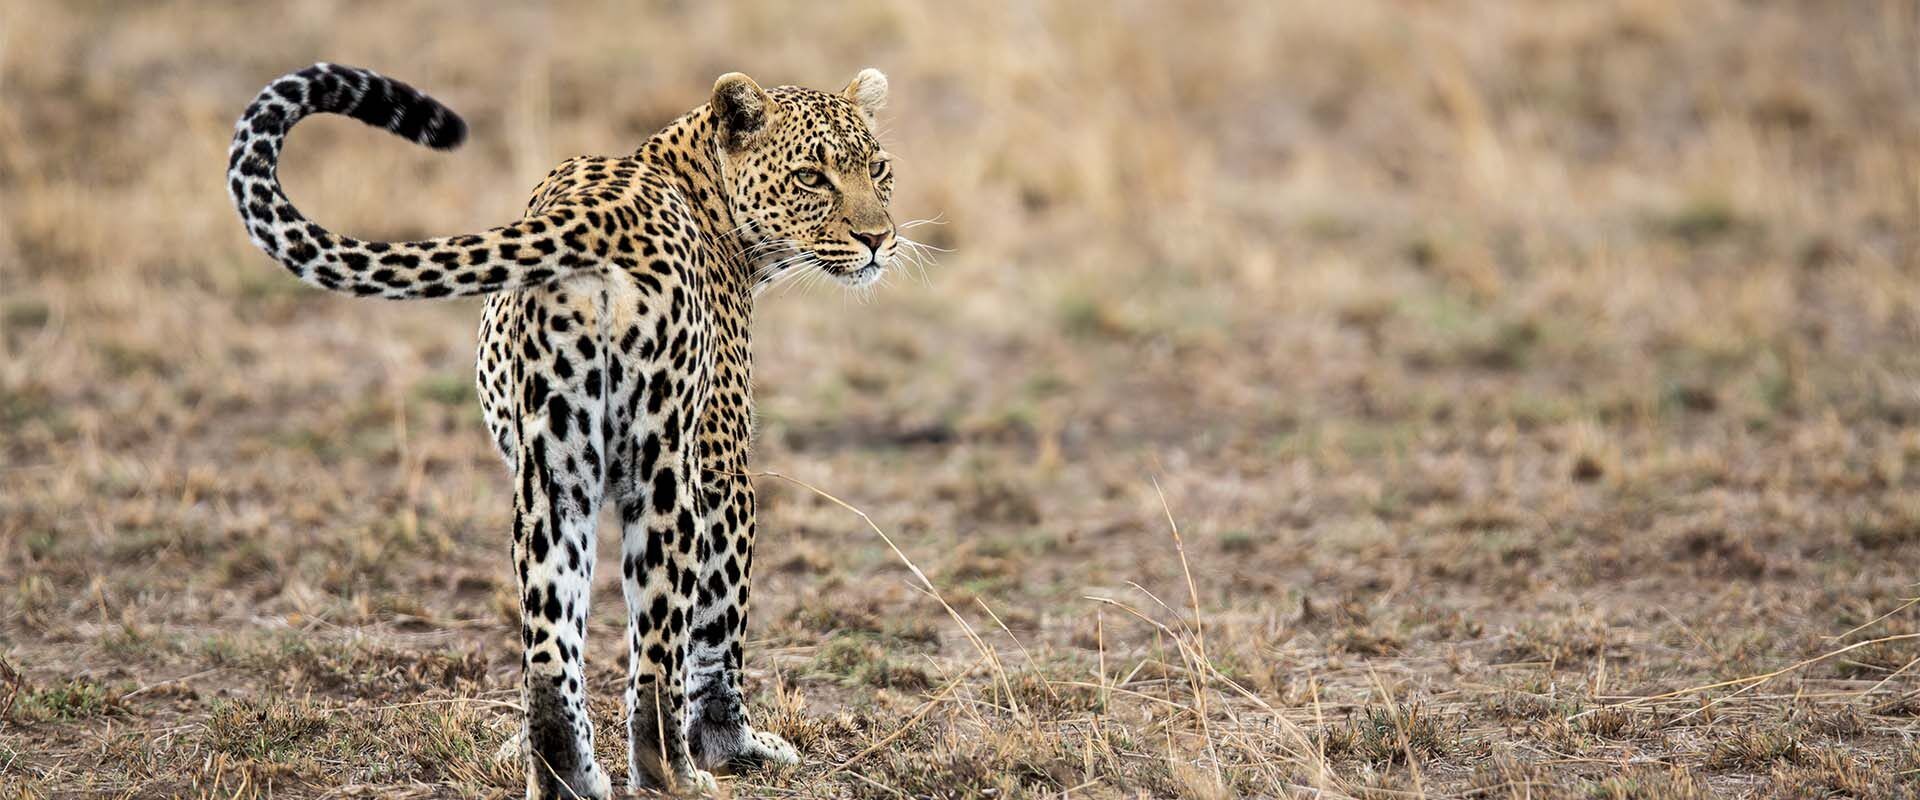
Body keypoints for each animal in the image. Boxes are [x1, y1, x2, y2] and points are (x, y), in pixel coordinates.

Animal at [228, 59, 902, 794]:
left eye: (879, 169)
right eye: (811, 177)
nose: (878, 241)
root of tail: (600, 220)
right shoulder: (724, 469)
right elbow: (721, 626)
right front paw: (733, 743)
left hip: (554, 471)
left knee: (549, 647)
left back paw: (565, 777)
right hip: (662, 470)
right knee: (659, 647)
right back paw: (676, 773)